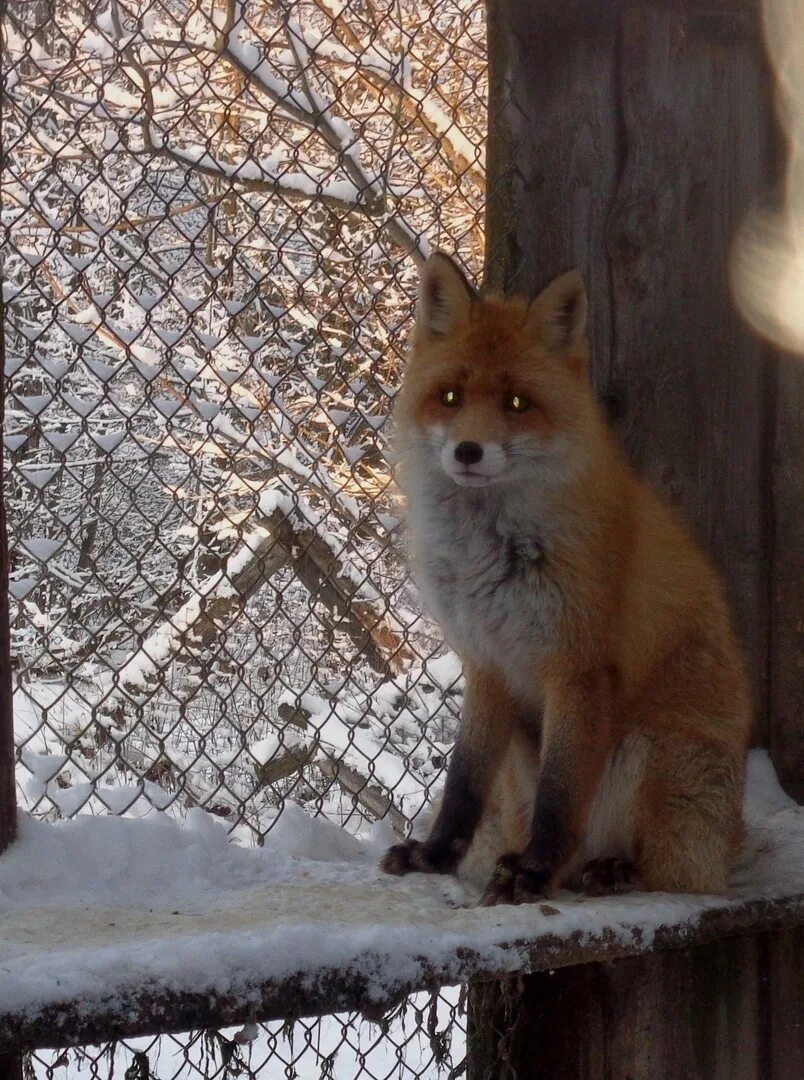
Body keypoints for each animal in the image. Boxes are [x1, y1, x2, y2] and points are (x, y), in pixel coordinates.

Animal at [380, 252, 752, 902]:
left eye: (517, 404)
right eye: (450, 396)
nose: (468, 451)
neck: (489, 552)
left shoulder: (578, 667)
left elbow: (559, 799)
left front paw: (532, 875)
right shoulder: (486, 663)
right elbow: (462, 782)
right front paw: (436, 856)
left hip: (647, 752)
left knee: (673, 875)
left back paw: (610, 871)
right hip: (522, 762)